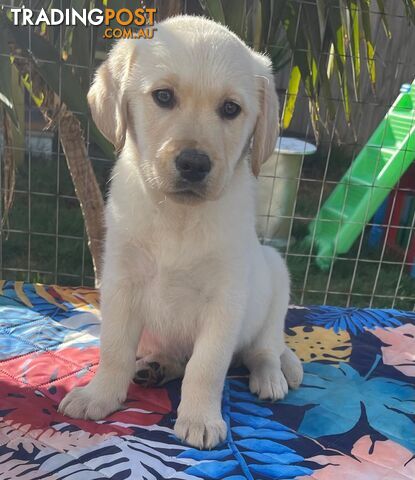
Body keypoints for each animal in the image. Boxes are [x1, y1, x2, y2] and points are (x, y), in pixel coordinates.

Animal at [58, 15, 304, 450]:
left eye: (230, 109)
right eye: (163, 96)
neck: (178, 217)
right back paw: (156, 366)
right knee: (175, 356)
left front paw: (200, 418)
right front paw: (99, 395)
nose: (194, 163)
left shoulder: (226, 299)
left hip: (275, 275)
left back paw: (271, 374)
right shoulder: (121, 282)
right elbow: (114, 349)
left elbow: (207, 366)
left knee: (265, 347)